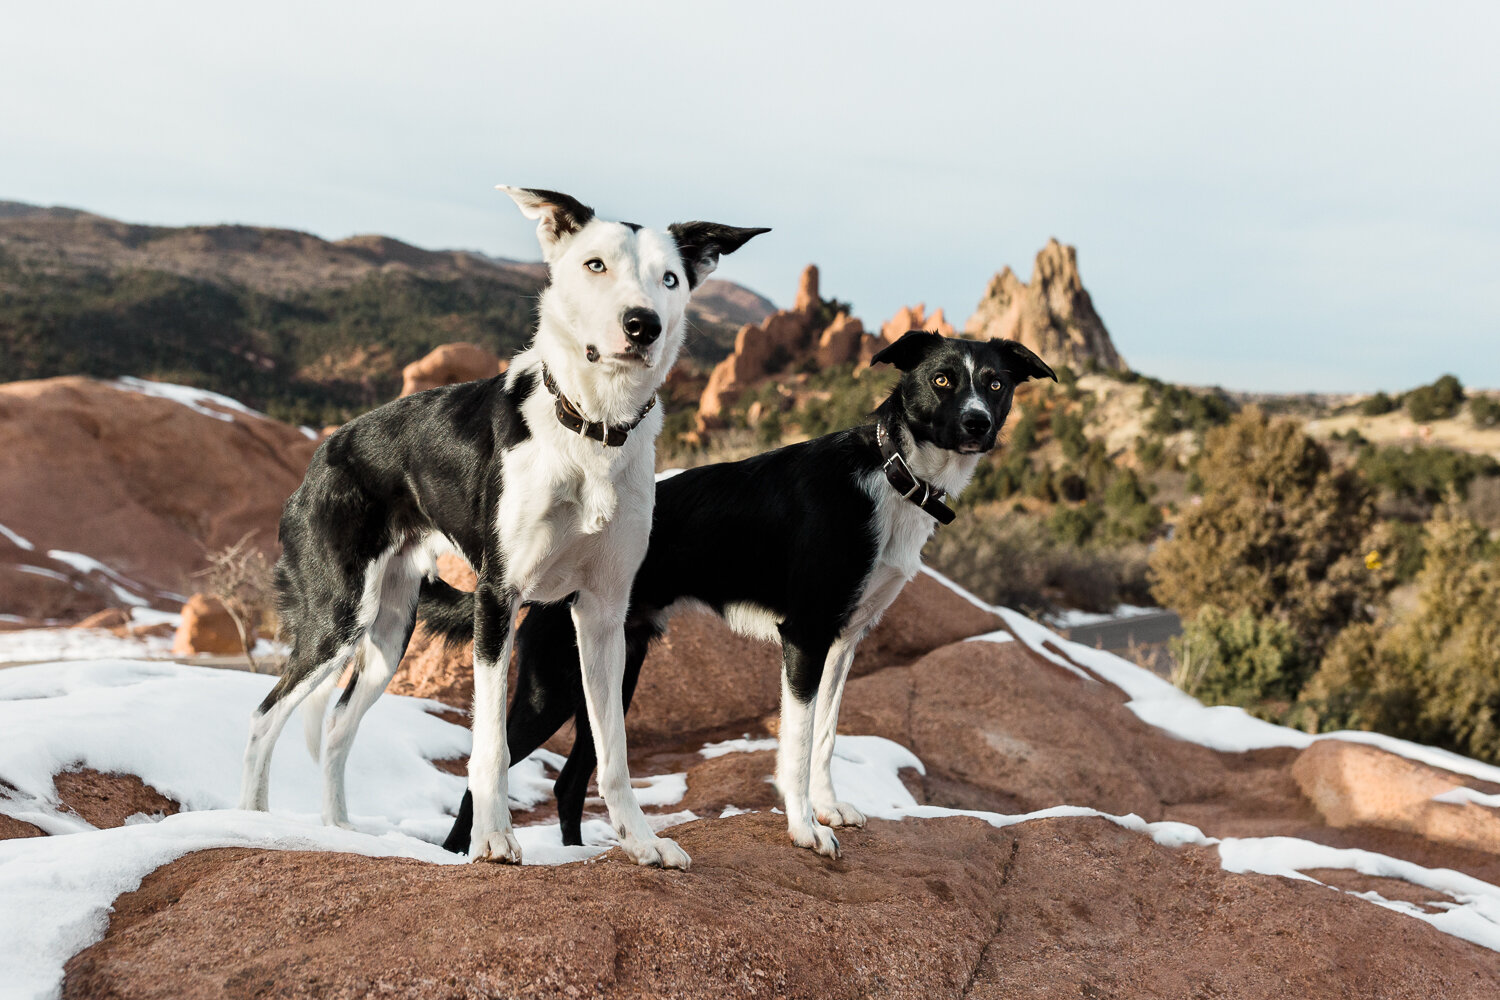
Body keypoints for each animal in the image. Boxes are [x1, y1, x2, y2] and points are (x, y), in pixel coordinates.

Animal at [243, 187, 774, 869]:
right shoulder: (498, 600)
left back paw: (340, 833)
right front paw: (494, 838)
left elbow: (614, 753)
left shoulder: (604, 616)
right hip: (338, 616)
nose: (642, 325)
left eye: (671, 279)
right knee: (264, 718)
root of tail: (323, 454)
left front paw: (640, 840)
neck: (590, 430)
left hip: (389, 633)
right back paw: (252, 822)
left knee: (336, 728)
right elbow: (490, 744)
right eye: (595, 265)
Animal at [423, 329, 1056, 863]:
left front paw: (829, 809)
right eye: (943, 380)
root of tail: (557, 563)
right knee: (488, 767)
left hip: (610, 672)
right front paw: (805, 829)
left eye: (995, 384)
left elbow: (825, 736)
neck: (890, 472)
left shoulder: (845, 641)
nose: (977, 424)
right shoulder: (804, 636)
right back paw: (466, 853)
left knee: (572, 778)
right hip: (550, 688)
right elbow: (796, 745)